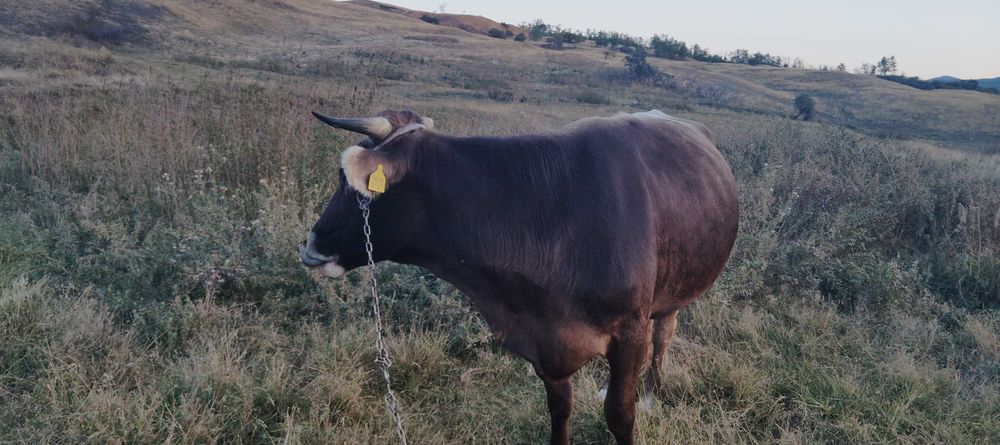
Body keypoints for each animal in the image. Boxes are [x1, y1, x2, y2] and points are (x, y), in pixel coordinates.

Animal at [299, 109, 739, 444]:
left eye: (345, 181)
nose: (310, 244)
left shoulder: (629, 331)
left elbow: (620, 414)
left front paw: (632, 405)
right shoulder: (544, 338)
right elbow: (559, 407)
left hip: (671, 293)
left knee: (663, 335)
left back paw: (650, 394)